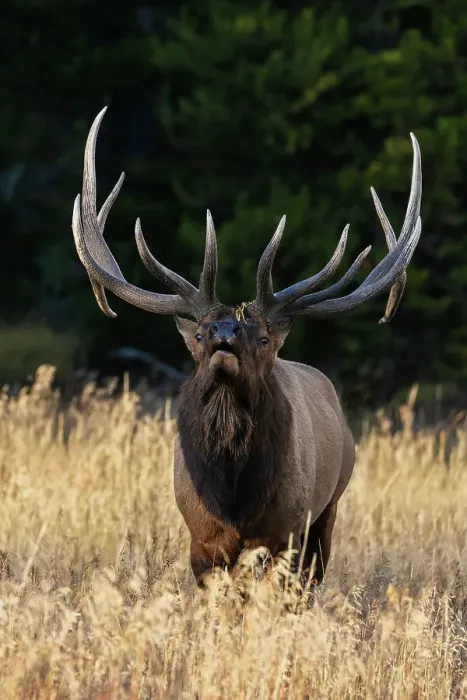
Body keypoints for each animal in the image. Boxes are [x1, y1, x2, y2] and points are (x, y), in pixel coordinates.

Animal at [72, 107, 422, 588]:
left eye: (261, 337)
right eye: (200, 334)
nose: (224, 333)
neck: (234, 497)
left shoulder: (285, 532)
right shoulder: (201, 539)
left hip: (330, 506)